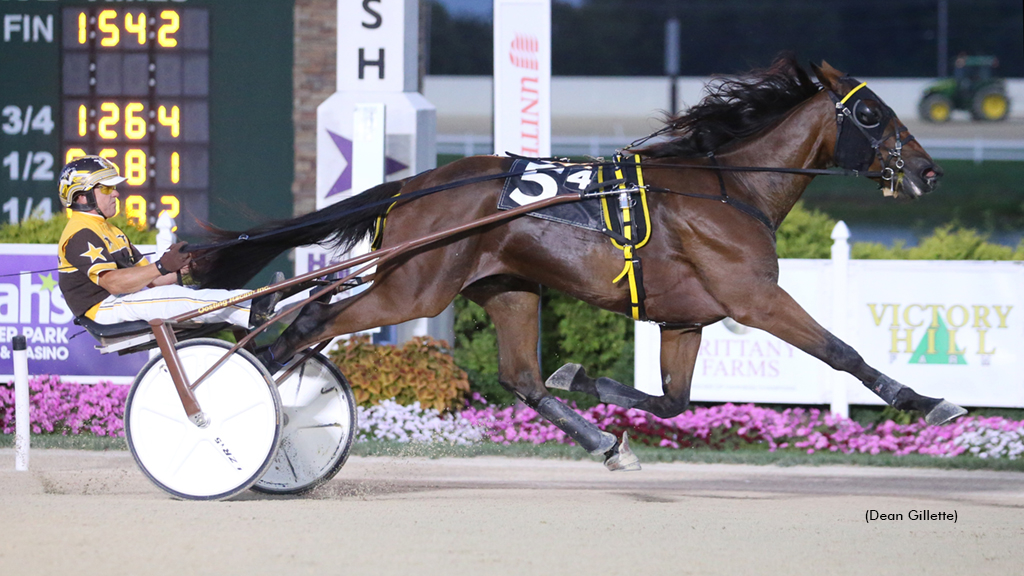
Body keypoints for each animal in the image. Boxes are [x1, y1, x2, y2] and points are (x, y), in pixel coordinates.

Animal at [193, 57, 966, 471]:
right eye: (872, 114)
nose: (930, 172)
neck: (731, 188)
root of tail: (417, 183)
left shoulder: (685, 319)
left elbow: (674, 401)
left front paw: (589, 380)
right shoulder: (753, 298)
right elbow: (841, 351)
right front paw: (926, 399)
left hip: (505, 287)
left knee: (522, 379)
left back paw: (602, 441)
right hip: (412, 288)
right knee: (309, 322)